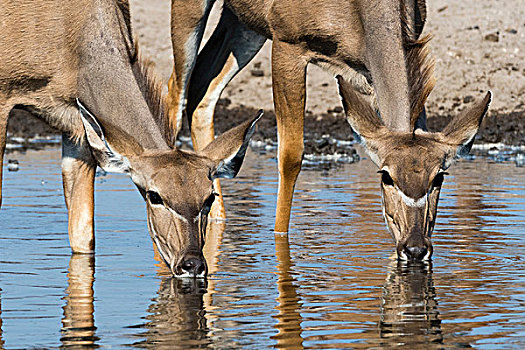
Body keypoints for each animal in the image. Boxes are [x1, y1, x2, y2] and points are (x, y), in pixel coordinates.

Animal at [169, 0, 492, 260]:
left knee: (201, 89)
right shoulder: (287, 45)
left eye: (439, 178)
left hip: (243, 25)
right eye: (386, 176)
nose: (415, 248)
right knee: (177, 89)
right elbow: (291, 156)